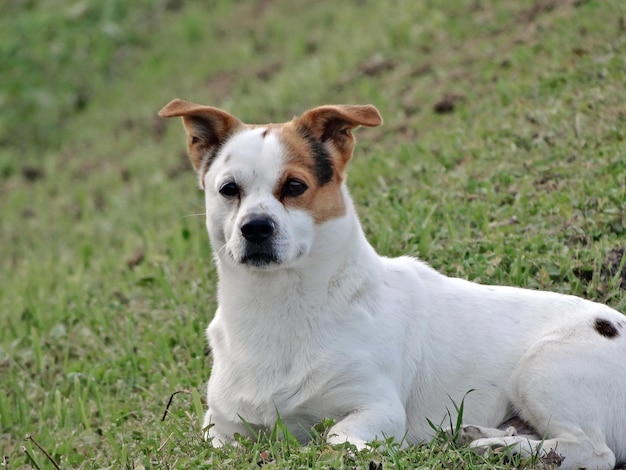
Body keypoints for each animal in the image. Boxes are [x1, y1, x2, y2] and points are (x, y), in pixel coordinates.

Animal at [160, 100, 624, 470]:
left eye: (294, 186)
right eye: (228, 189)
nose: (255, 227)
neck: (279, 306)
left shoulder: (377, 408)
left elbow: (335, 437)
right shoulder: (219, 427)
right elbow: (222, 444)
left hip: (540, 368)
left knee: (593, 451)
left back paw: (503, 450)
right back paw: (485, 436)